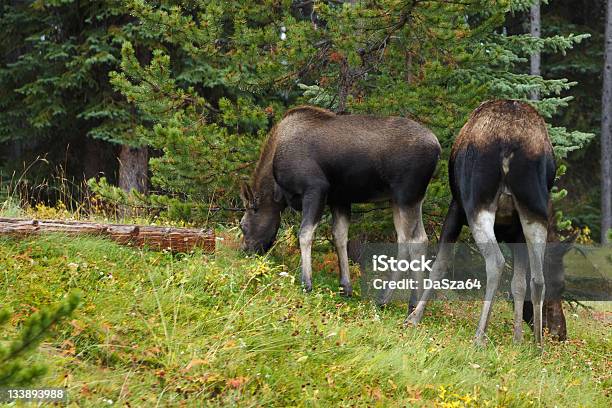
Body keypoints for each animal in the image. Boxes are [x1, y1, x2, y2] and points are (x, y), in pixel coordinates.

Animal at [239, 105, 440, 296]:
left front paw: (306, 282)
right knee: (412, 239)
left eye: (243, 225)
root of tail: (437, 147)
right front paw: (345, 286)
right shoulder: (340, 199)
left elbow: (305, 234)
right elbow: (340, 237)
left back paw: (399, 301)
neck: (278, 190)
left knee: (414, 240)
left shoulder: (316, 188)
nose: (245, 250)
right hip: (403, 200)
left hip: (406, 196)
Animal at [406, 100, 556, 346]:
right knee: (538, 278)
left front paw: (414, 317)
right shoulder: (516, 233)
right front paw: (517, 339)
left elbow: (439, 264)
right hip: (535, 210)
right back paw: (538, 345)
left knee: (496, 262)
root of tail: (512, 140)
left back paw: (479, 335)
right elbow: (518, 284)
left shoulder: (456, 209)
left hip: (476, 202)